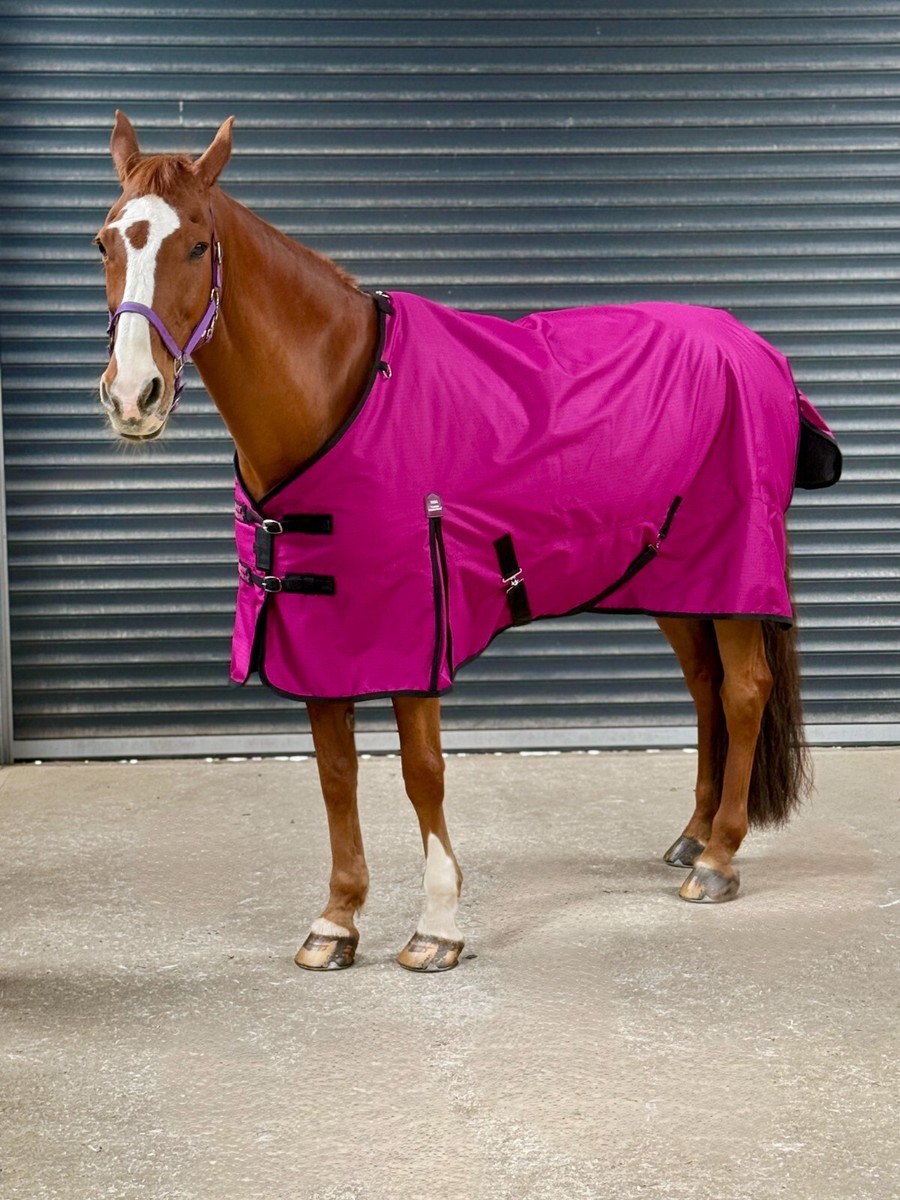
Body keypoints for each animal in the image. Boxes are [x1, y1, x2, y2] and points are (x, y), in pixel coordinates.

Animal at [94, 112, 839, 973]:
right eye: (105, 242)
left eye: (195, 246)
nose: (132, 396)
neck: (340, 390)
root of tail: (756, 349)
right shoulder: (320, 631)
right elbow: (336, 773)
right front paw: (337, 921)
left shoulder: (416, 623)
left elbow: (422, 772)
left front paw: (438, 925)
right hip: (676, 579)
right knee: (706, 689)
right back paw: (692, 837)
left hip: (733, 574)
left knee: (744, 691)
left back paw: (718, 860)